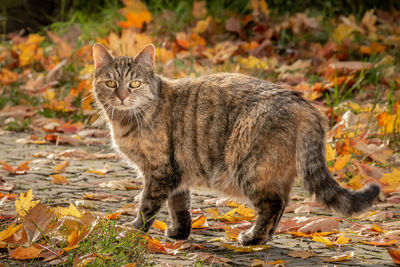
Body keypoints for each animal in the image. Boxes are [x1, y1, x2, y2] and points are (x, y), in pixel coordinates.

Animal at [92, 44, 380, 247]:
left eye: (134, 83)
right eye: (111, 83)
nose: (122, 96)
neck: (128, 119)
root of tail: (302, 104)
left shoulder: (160, 171)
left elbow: (147, 204)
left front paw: (134, 229)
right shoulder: (177, 172)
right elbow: (180, 205)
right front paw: (179, 232)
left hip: (249, 167)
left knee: (272, 205)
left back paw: (253, 238)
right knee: (282, 203)